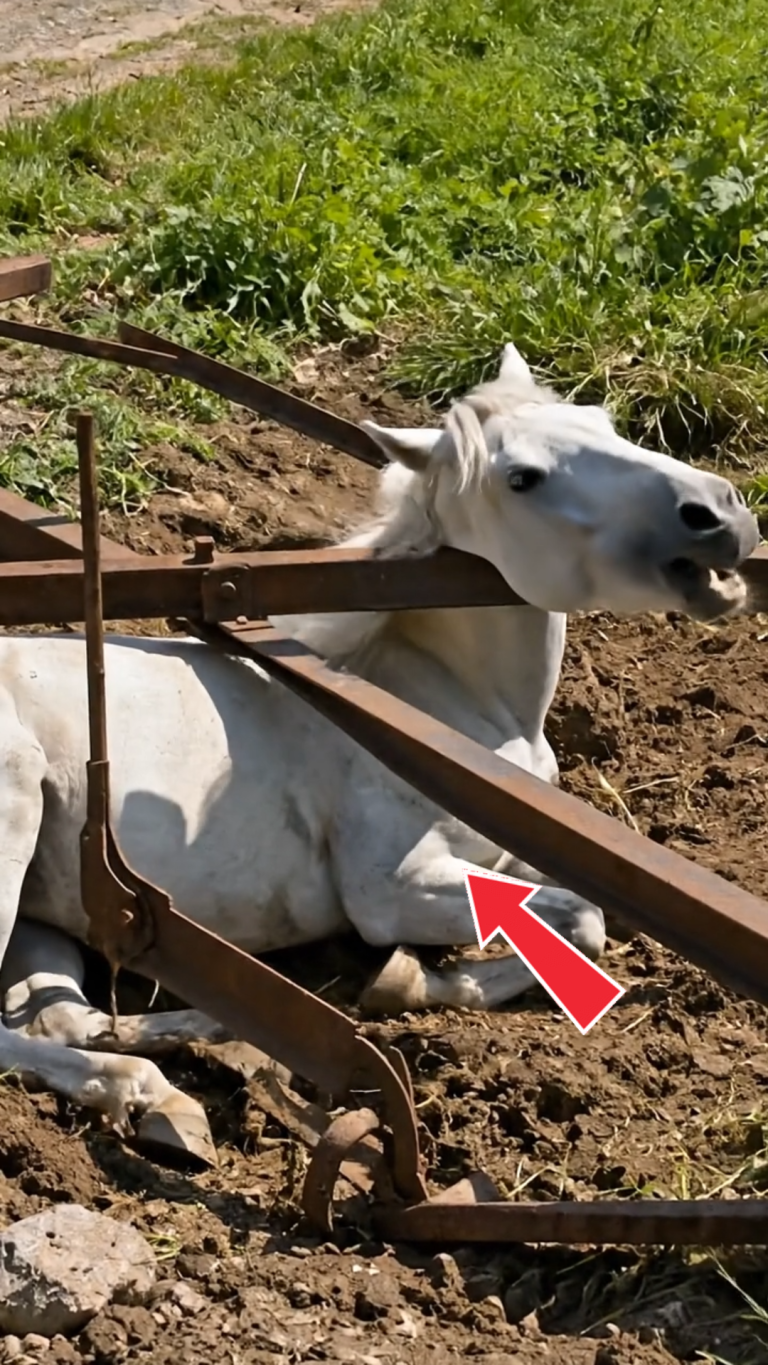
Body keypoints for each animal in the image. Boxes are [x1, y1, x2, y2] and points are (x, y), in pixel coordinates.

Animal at [0, 341, 758, 1148]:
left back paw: (205, 1045)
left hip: (43, 924)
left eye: (603, 422)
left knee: (60, 1016)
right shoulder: (392, 889)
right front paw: (406, 983)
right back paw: (139, 1086)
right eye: (521, 477)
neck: (437, 702)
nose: (718, 515)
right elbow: (580, 922)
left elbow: (588, 910)